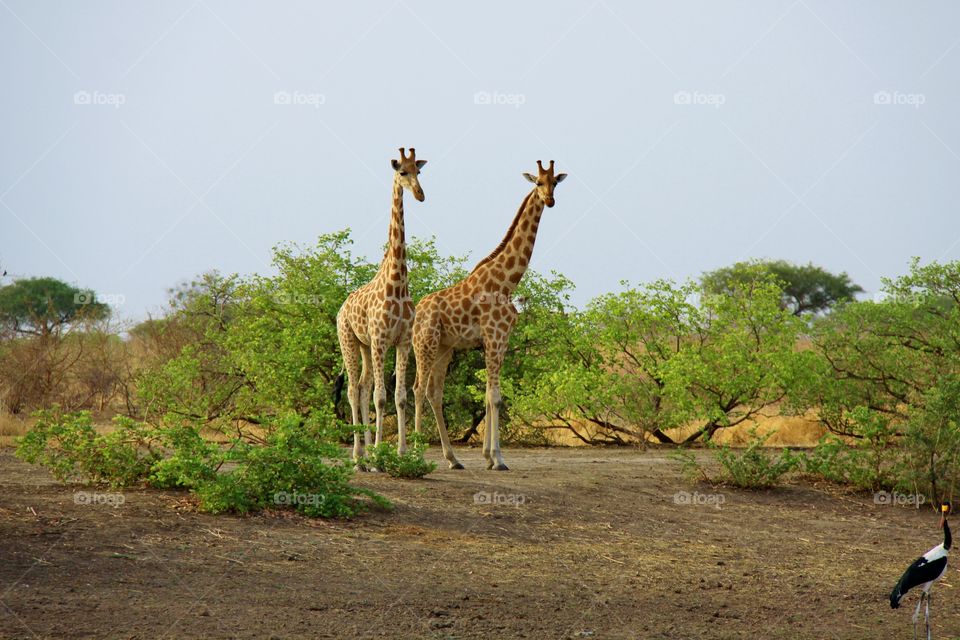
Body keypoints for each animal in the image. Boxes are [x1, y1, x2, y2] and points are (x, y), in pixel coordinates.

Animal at [338, 146, 428, 464]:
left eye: (419, 171)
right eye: (402, 171)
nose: (420, 194)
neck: (398, 284)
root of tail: (341, 309)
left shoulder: (402, 342)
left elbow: (399, 397)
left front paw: (400, 452)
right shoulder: (380, 340)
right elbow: (381, 397)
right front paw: (380, 454)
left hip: (364, 346)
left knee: (363, 387)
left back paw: (364, 454)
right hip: (349, 340)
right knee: (353, 390)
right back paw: (358, 455)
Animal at [410, 160, 564, 470]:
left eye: (555, 182)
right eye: (538, 182)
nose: (550, 200)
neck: (507, 282)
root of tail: (416, 313)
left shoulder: (500, 341)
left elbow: (488, 395)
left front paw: (487, 456)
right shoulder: (494, 338)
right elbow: (495, 396)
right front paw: (498, 458)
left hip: (444, 348)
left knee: (434, 393)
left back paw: (453, 459)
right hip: (425, 344)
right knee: (418, 389)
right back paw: (415, 454)